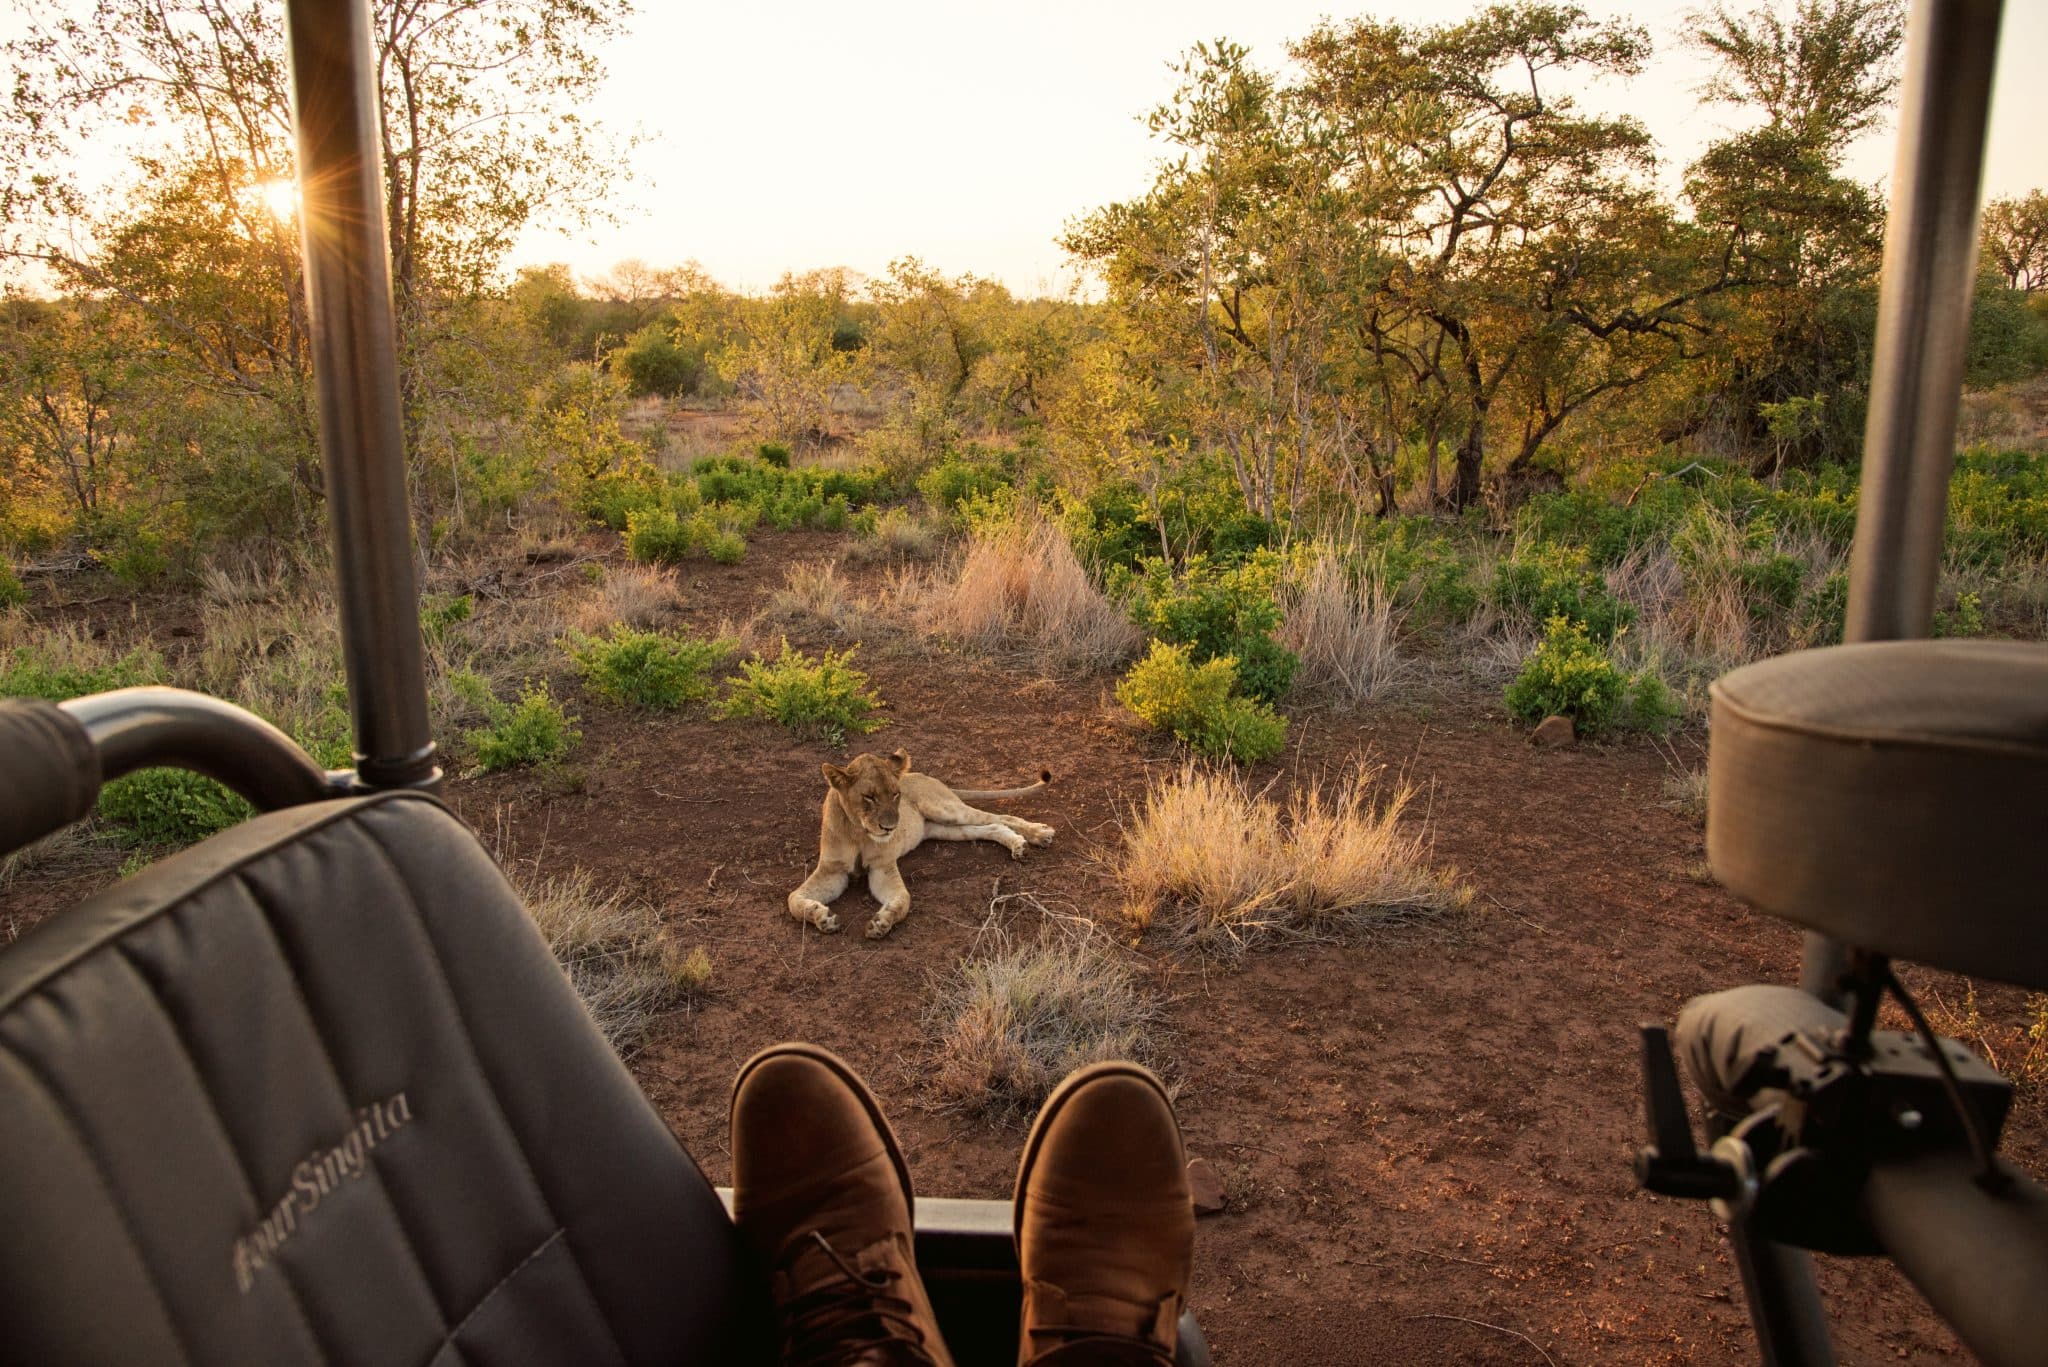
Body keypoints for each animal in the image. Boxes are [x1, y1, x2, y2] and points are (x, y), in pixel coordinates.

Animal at [789, 748, 1054, 939]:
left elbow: (903, 900)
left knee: (1001, 817)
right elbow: (793, 899)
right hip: (943, 829)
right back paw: (1017, 844)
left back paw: (1039, 834)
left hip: (945, 809)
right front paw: (822, 918)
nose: (890, 828)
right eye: (869, 797)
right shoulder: (831, 871)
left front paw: (881, 923)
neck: (859, 832)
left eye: (896, 794)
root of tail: (924, 775)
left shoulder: (883, 868)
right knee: (991, 827)